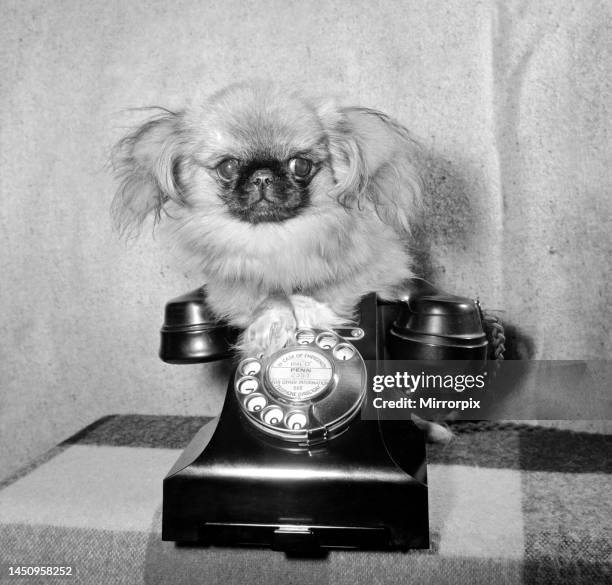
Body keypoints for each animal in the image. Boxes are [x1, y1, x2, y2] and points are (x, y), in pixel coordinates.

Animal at [112, 80, 424, 358]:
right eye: (228, 167)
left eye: (300, 165)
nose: (262, 176)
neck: (274, 237)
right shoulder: (228, 290)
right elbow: (269, 297)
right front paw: (273, 322)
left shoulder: (382, 271)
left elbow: (329, 286)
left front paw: (309, 309)